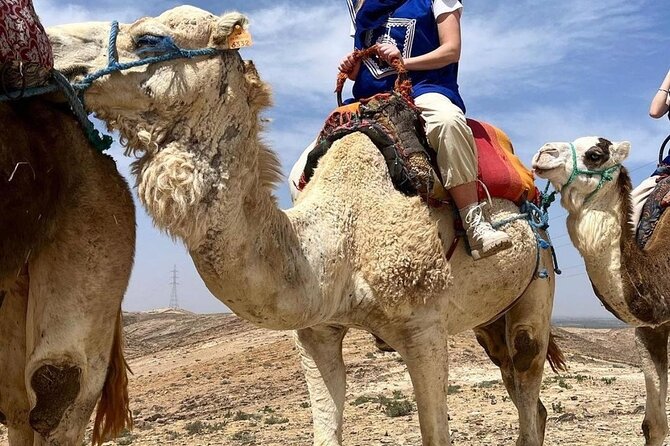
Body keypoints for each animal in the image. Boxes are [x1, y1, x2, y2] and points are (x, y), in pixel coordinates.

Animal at [48, 6, 563, 445]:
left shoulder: (425, 328)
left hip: (536, 289)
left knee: (527, 378)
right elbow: (326, 427)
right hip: (487, 321)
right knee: (527, 398)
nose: (51, 46)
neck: (340, 238)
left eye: (149, 38)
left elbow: (436, 433)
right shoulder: (316, 330)